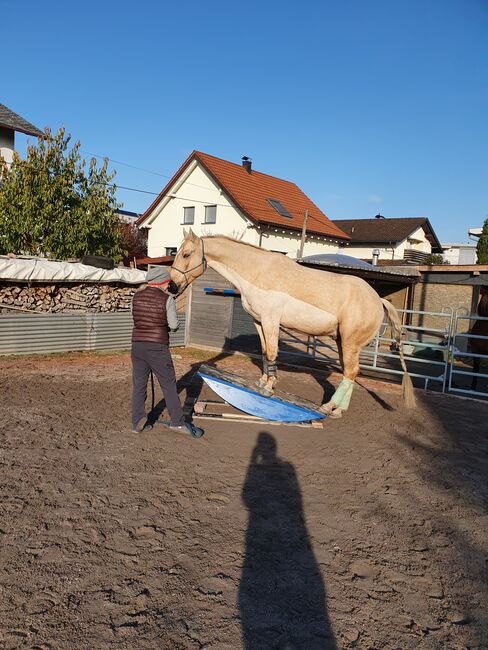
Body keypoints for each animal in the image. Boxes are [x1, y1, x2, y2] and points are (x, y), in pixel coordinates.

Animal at [170, 230, 414, 418]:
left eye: (186, 254)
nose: (172, 286)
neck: (258, 272)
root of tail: (378, 300)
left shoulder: (271, 320)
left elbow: (272, 352)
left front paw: (269, 388)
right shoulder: (259, 321)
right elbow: (265, 351)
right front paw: (262, 383)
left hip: (350, 342)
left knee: (351, 372)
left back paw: (328, 407)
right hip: (342, 343)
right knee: (350, 372)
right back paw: (337, 410)